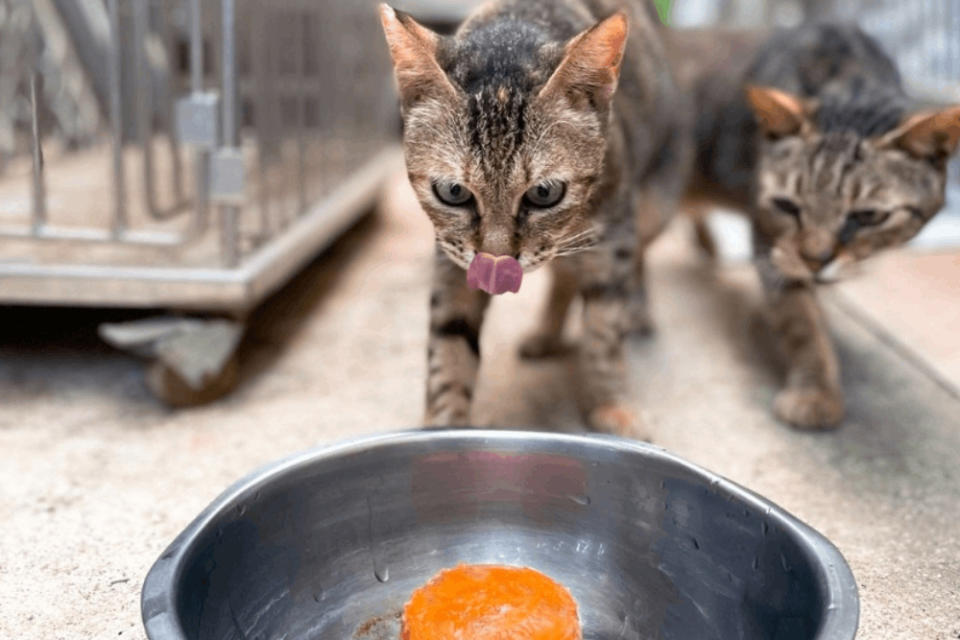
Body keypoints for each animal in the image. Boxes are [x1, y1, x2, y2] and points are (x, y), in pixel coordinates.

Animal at [376, 0, 688, 438]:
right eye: (453, 192)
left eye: (544, 193)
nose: (495, 262)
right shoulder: (451, 256)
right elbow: (449, 340)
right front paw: (443, 424)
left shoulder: (614, 239)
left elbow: (603, 330)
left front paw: (611, 404)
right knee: (565, 278)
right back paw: (546, 333)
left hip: (652, 205)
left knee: (633, 261)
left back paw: (638, 311)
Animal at [668, 21, 960, 430]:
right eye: (787, 206)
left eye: (868, 216)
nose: (815, 259)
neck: (848, 78)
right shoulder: (771, 244)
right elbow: (800, 321)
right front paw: (817, 391)